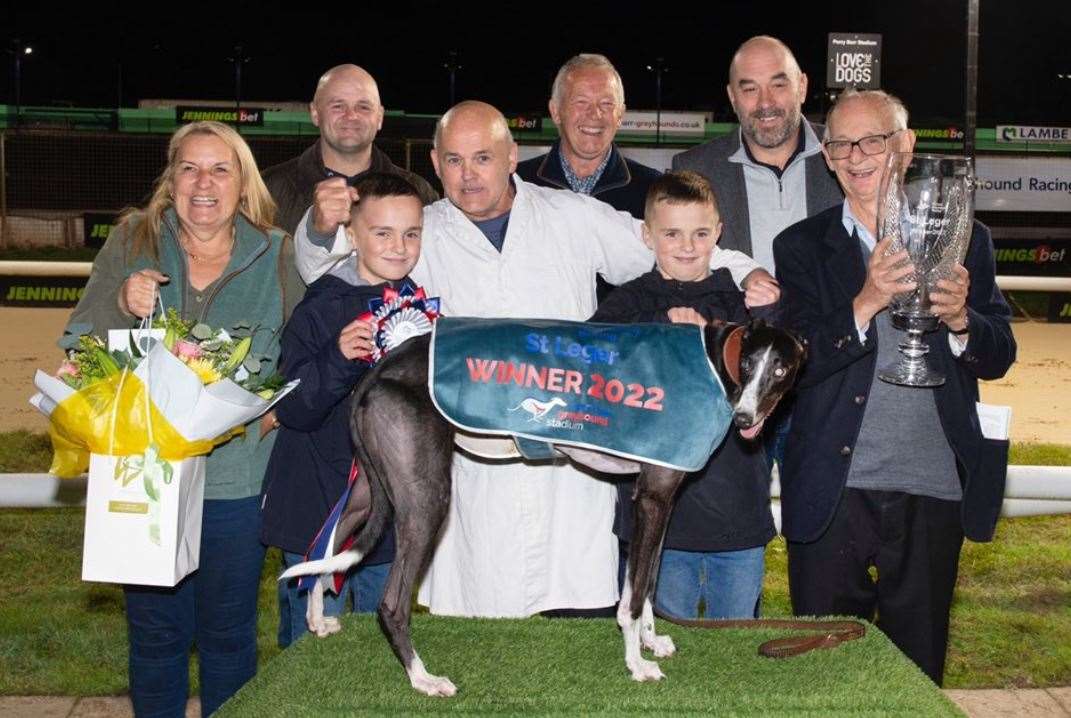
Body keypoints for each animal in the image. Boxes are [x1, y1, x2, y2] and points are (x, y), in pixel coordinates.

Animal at [280, 321, 805, 698]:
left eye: (781, 370)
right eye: (750, 363)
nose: (745, 418)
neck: (716, 361)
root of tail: (377, 368)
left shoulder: (658, 499)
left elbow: (648, 580)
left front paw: (651, 641)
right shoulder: (653, 497)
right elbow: (634, 597)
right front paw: (637, 663)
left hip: (374, 488)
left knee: (328, 541)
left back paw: (317, 618)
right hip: (424, 500)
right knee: (390, 602)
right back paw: (422, 678)